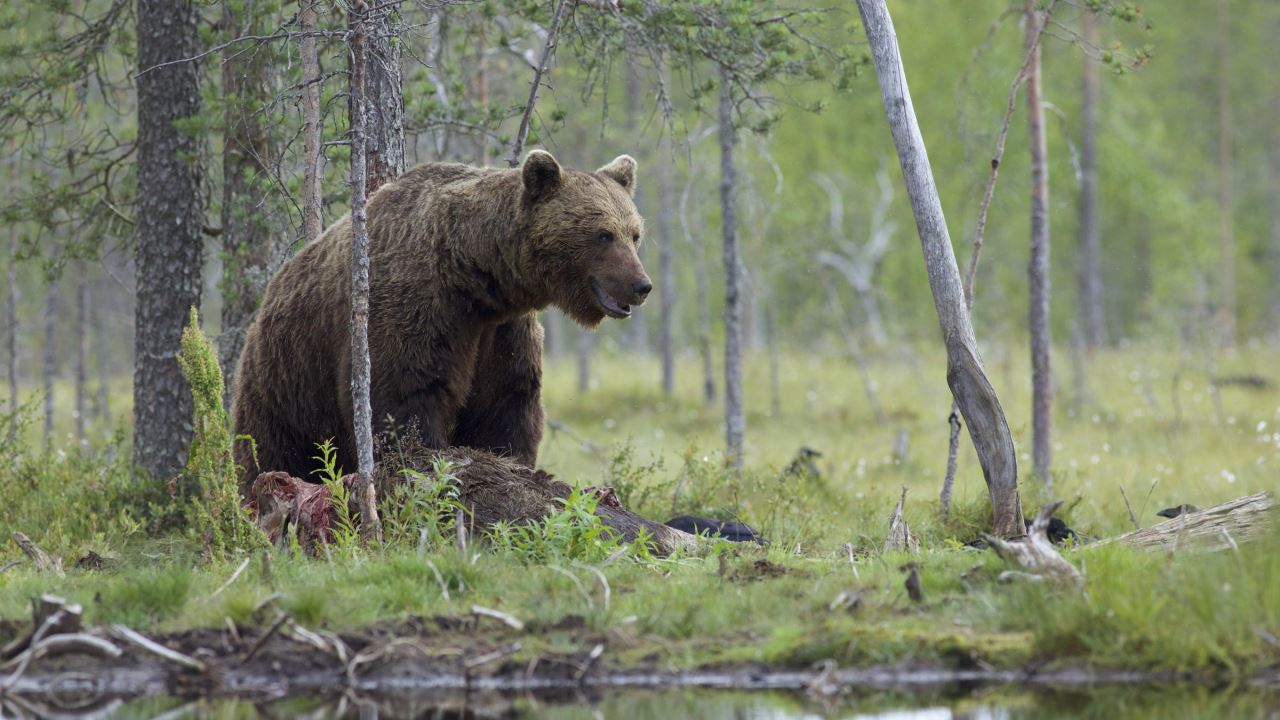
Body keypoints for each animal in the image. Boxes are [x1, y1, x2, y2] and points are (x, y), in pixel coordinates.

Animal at [231, 150, 650, 486]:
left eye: (634, 234)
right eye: (603, 234)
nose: (641, 285)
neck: (475, 276)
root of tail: (269, 295)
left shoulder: (502, 333)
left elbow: (505, 405)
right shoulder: (418, 308)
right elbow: (406, 398)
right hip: (289, 381)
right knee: (273, 450)